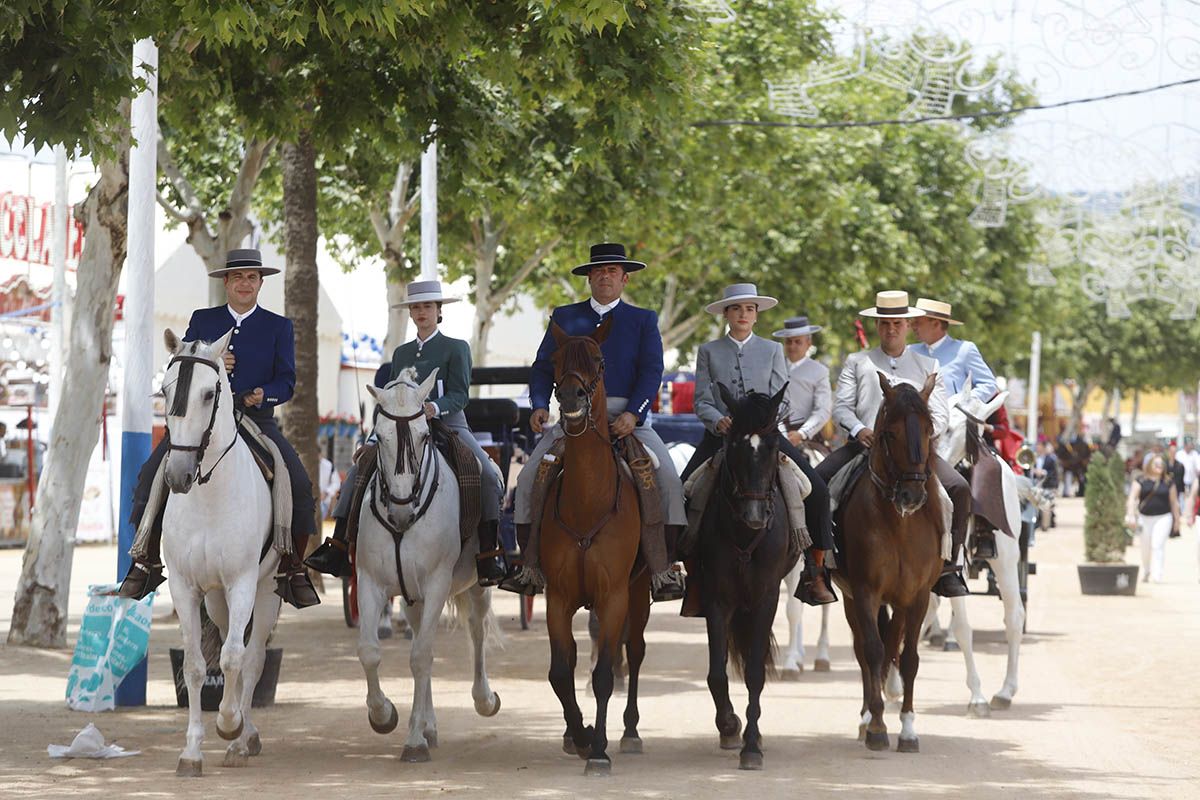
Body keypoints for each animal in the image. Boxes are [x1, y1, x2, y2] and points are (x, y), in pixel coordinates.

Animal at [159, 328, 278, 777]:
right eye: (164, 390)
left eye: (210, 394)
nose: (178, 476)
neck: (209, 497)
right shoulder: (185, 587)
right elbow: (195, 665)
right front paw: (191, 752)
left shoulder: (242, 583)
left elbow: (231, 661)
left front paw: (229, 724)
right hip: (217, 600)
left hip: (266, 591)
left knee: (252, 657)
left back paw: (244, 737)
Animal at [352, 369, 499, 762]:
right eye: (380, 437)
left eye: (423, 436)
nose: (402, 510)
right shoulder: (370, 582)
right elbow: (370, 651)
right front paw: (383, 715)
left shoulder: (436, 584)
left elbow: (420, 658)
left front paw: (414, 741)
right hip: (411, 596)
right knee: (421, 636)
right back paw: (428, 724)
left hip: (476, 585)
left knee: (476, 631)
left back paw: (483, 700)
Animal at [696, 383, 796, 772]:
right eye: (735, 446)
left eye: (772, 447)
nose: (755, 516)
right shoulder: (717, 600)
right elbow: (716, 672)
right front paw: (729, 725)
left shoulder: (767, 597)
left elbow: (755, 672)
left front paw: (752, 746)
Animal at [835, 371, 945, 753]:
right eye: (890, 433)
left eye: (929, 429)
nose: (912, 495)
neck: (899, 524)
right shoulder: (865, 591)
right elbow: (872, 650)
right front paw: (878, 726)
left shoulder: (918, 596)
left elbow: (909, 657)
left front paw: (908, 729)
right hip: (851, 598)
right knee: (863, 650)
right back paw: (867, 716)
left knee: (893, 643)